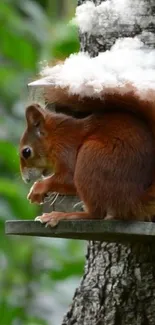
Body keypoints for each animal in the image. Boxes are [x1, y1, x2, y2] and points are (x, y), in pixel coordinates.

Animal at [19, 85, 155, 227]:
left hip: (90, 157)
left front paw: (38, 188)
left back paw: (61, 215)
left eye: (26, 152)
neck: (56, 137)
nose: (25, 179)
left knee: (96, 214)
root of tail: (135, 200)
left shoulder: (66, 149)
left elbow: (68, 178)